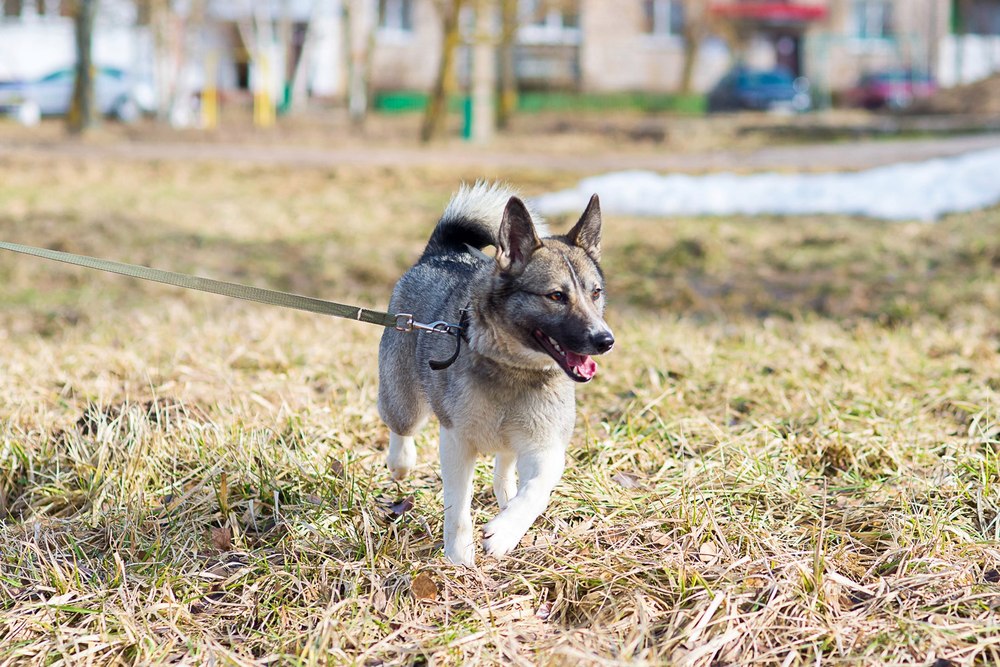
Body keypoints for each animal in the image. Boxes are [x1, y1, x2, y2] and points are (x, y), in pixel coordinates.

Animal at [376, 181, 608, 564]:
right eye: (556, 296)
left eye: (596, 293)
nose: (605, 340)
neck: (514, 367)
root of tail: (441, 253)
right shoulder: (456, 441)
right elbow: (458, 506)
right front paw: (459, 555)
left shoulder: (546, 447)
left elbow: (536, 491)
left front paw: (506, 531)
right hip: (403, 398)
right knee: (400, 425)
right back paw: (401, 462)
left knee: (505, 466)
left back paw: (506, 498)